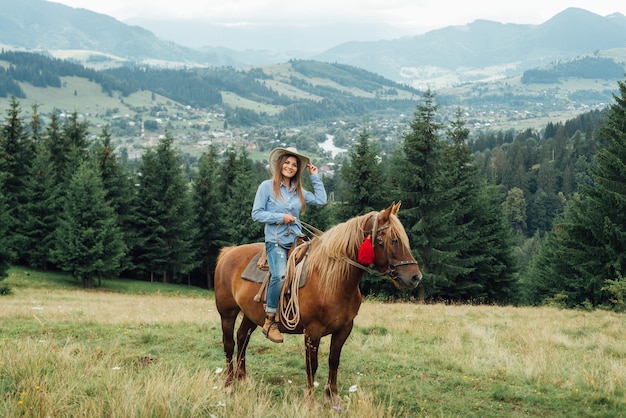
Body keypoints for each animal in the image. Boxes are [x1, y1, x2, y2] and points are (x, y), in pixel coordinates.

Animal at [212, 202, 422, 404]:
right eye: (393, 239)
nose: (415, 277)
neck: (331, 280)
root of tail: (229, 252)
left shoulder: (344, 328)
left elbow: (333, 360)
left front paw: (333, 396)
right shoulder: (313, 331)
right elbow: (312, 364)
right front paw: (310, 400)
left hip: (251, 314)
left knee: (242, 338)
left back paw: (243, 380)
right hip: (227, 313)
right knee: (229, 343)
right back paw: (229, 384)